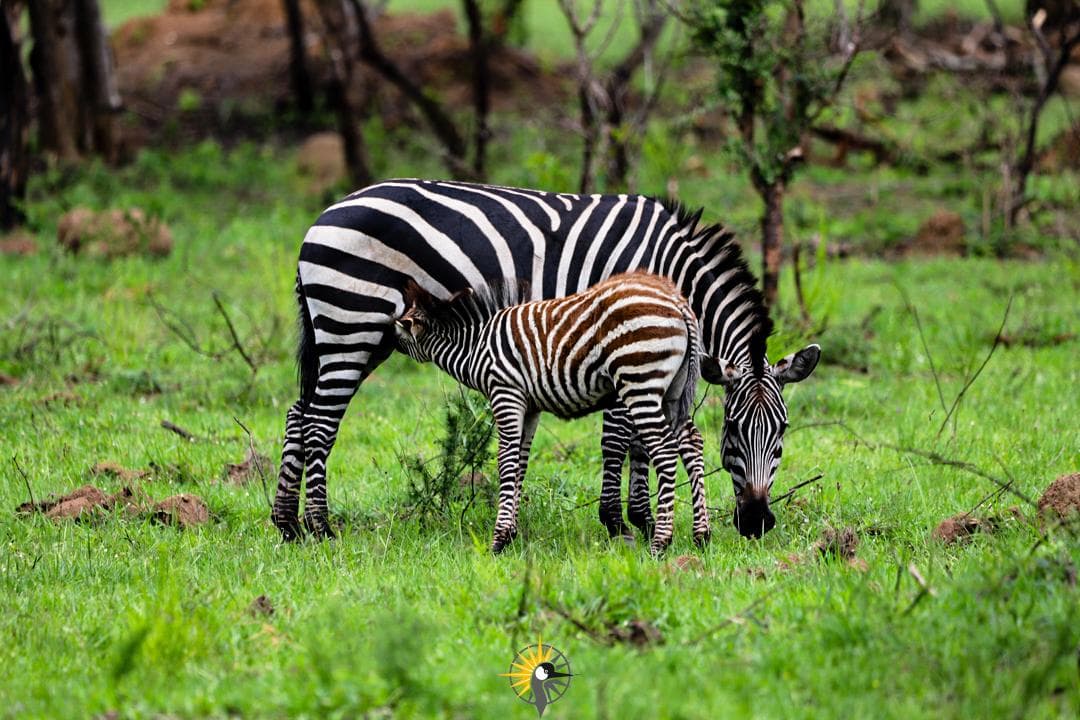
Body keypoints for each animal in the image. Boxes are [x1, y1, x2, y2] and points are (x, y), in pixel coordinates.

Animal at [394, 272, 709, 555]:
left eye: (398, 334)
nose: (389, 346)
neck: (475, 347)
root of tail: (677, 301)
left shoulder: (505, 393)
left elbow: (505, 461)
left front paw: (498, 541)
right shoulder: (530, 406)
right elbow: (520, 463)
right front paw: (512, 534)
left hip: (639, 381)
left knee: (665, 450)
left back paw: (661, 543)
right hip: (672, 391)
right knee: (691, 443)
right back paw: (701, 535)